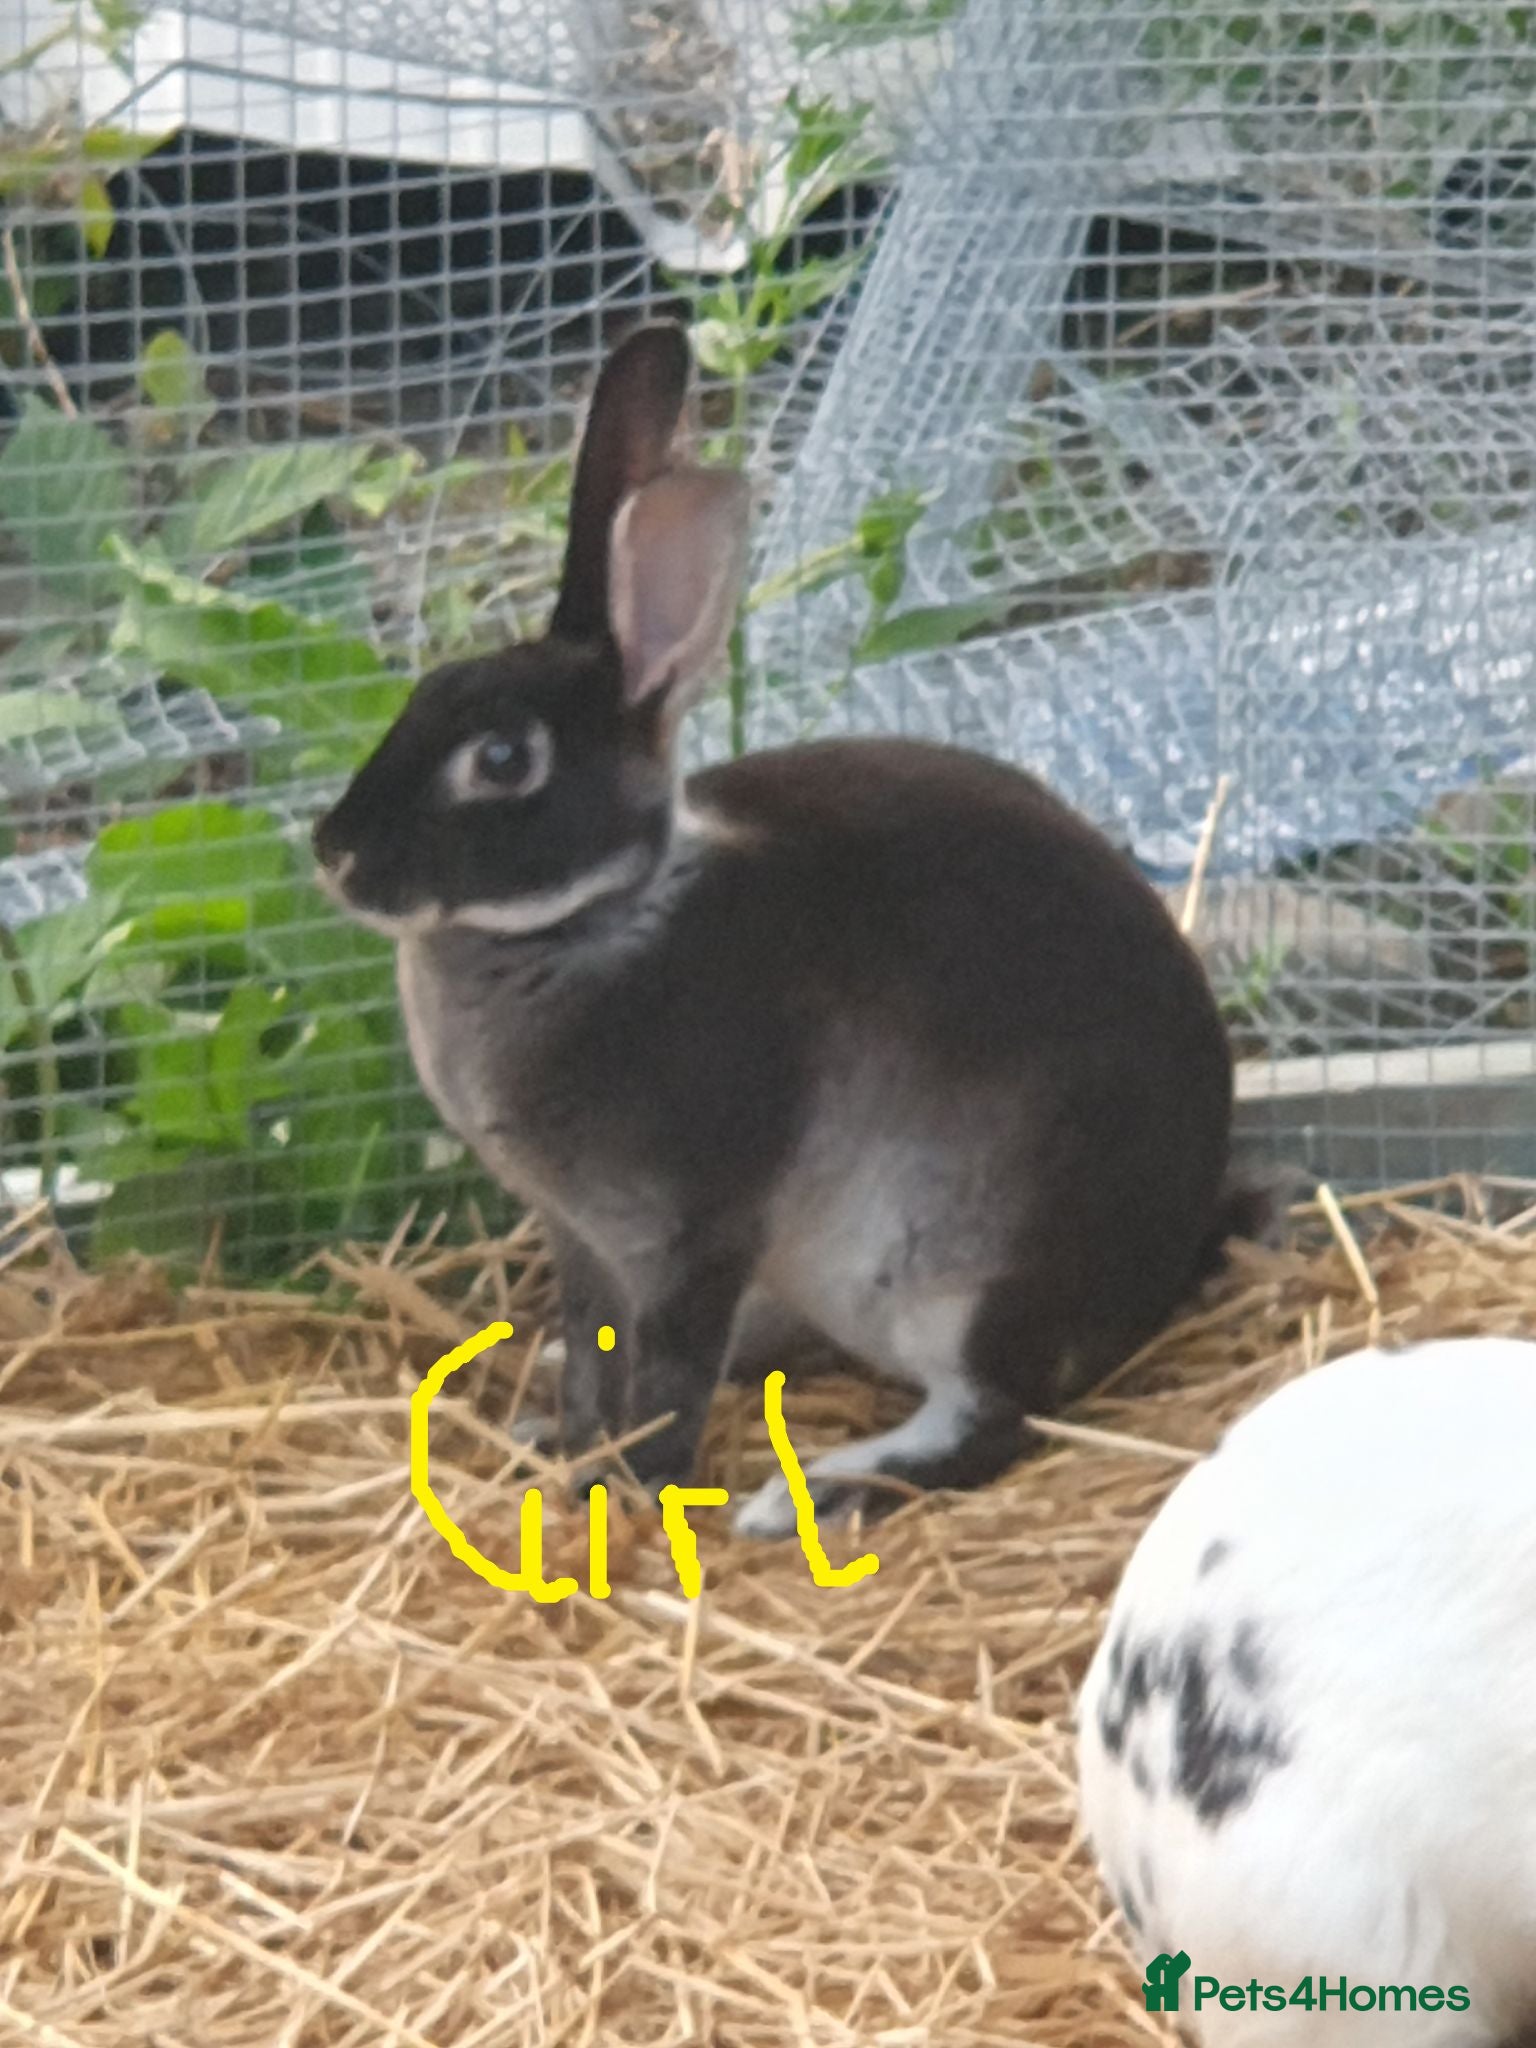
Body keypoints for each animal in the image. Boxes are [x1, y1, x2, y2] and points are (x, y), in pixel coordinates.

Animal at [312, 319, 1245, 1540]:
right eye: (425, 691)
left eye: (504, 759)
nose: (333, 853)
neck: (595, 921)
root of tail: (1162, 1263)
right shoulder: (583, 1239)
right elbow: (598, 1355)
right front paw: (560, 1444)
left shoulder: (694, 1231)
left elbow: (667, 1376)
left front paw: (631, 1491)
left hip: (975, 1278)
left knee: (992, 1416)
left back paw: (823, 1491)